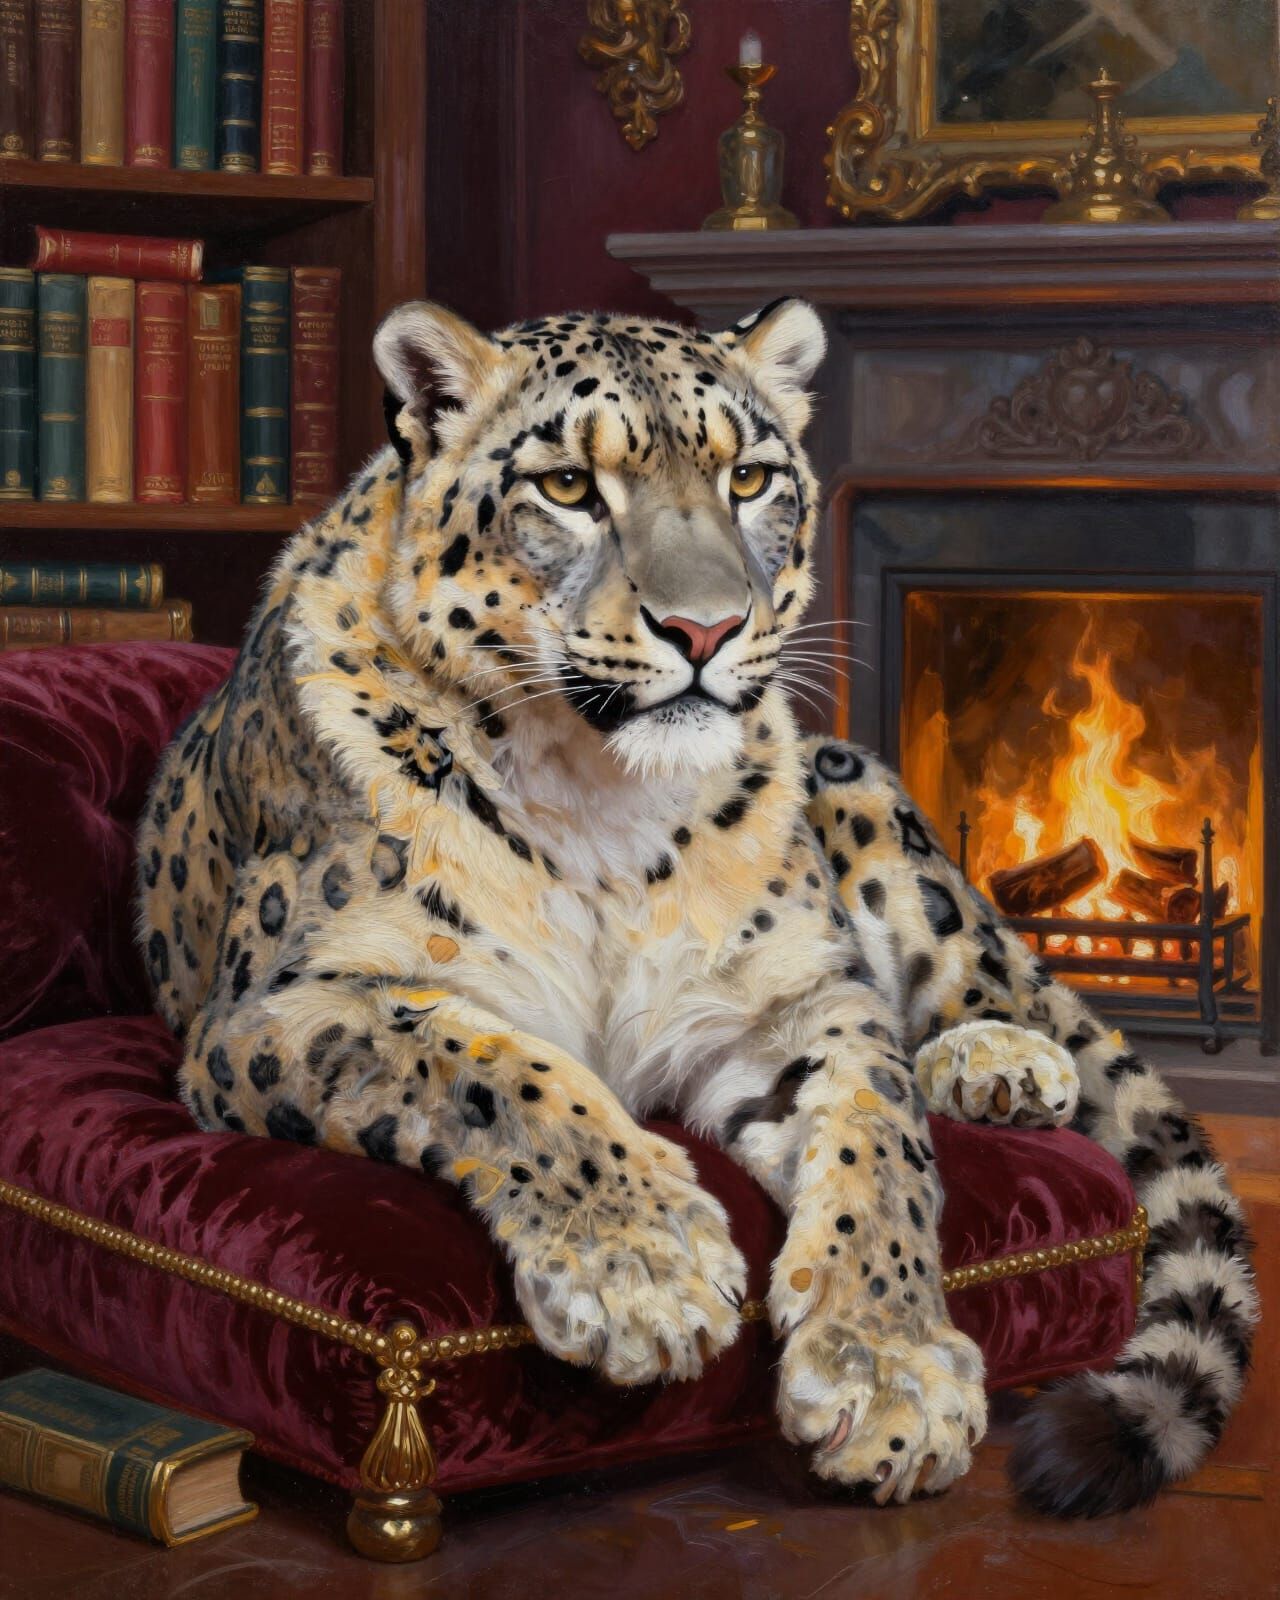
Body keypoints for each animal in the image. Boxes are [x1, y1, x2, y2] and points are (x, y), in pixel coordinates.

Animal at [137, 297, 1256, 1515]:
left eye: (750, 478)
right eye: (568, 487)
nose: (707, 629)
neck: (600, 799)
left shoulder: (788, 1005)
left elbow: (881, 1146)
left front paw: (890, 1369)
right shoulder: (279, 1006)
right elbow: (489, 1066)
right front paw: (641, 1269)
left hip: (862, 798)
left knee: (975, 980)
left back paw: (1002, 1061)